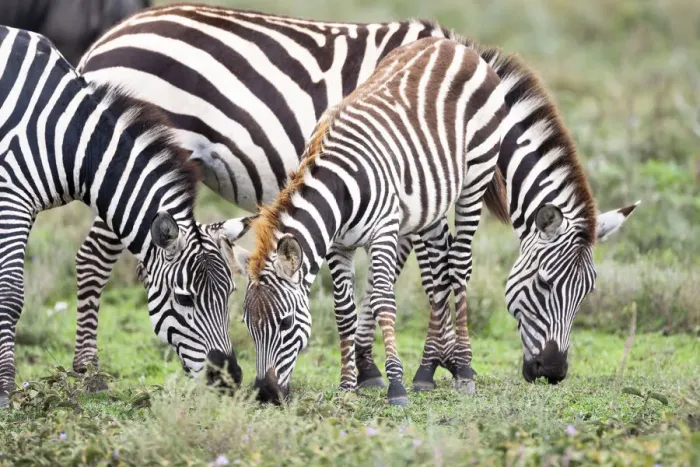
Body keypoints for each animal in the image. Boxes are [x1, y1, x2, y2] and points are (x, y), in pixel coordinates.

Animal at [0, 27, 249, 407]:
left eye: (231, 292)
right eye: (184, 299)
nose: (229, 380)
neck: (70, 142)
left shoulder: (24, 206)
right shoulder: (11, 196)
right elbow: (10, 294)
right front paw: (5, 387)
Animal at [232, 36, 510, 405]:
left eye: (287, 323)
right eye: (247, 324)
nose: (265, 394)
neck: (338, 191)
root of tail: (450, 43)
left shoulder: (383, 233)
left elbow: (383, 302)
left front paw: (396, 386)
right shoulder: (337, 246)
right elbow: (344, 311)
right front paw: (347, 386)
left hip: (476, 174)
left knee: (460, 265)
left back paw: (463, 369)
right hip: (431, 201)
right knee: (438, 272)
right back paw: (426, 373)